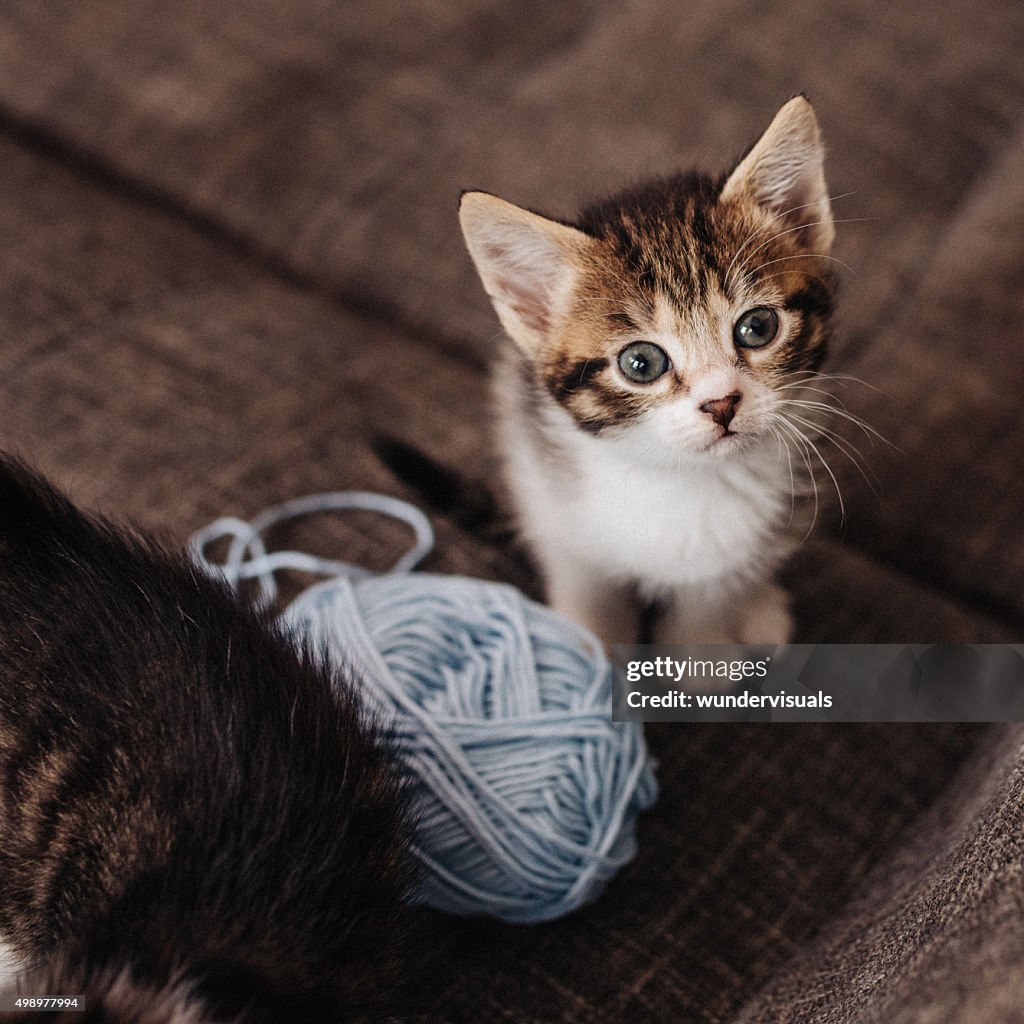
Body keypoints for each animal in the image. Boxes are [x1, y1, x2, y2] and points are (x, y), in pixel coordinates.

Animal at [460, 96, 835, 643]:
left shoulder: (719, 580)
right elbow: (592, 616)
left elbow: (701, 637)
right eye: (641, 363)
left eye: (758, 327)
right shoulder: (561, 527)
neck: (680, 481)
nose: (721, 403)